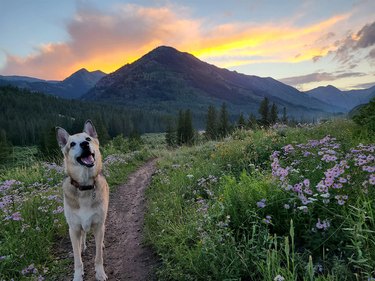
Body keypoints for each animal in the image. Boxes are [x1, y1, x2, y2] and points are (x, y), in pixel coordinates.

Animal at [55, 119, 109, 278]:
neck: (85, 187)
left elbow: (98, 256)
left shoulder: (98, 225)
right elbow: (77, 258)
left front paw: (100, 274)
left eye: (88, 139)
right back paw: (82, 245)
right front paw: (78, 276)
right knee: (83, 236)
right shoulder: (73, 229)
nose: (84, 144)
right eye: (72, 144)